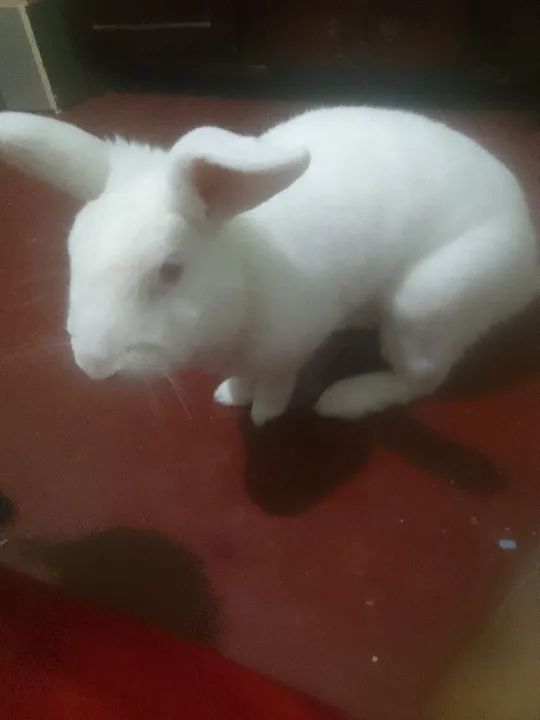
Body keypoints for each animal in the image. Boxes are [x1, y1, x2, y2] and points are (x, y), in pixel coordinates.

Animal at [1, 107, 538, 425]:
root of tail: (527, 256)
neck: (245, 274)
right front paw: (232, 394)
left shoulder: (292, 342)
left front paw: (264, 413)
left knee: (424, 379)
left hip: (426, 307)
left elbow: (279, 378)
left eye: (170, 270)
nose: (94, 366)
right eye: (73, 253)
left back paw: (346, 399)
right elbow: (244, 376)